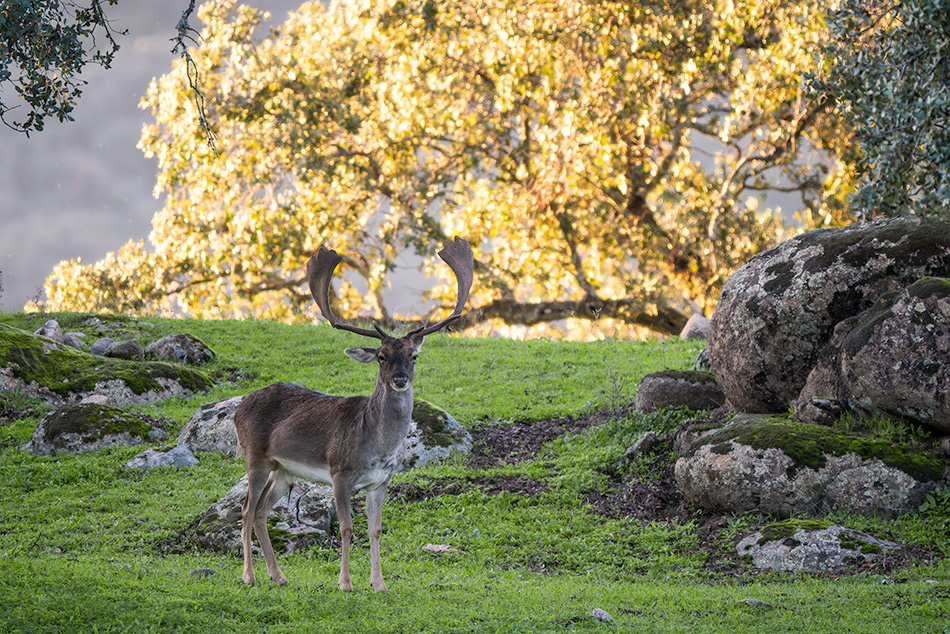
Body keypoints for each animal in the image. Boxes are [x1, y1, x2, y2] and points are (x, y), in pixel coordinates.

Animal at [234, 235, 472, 592]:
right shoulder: (339, 471)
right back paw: (249, 576)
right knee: (247, 509)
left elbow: (376, 529)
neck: (377, 445)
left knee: (262, 510)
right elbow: (347, 528)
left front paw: (379, 584)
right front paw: (345, 583)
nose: (399, 379)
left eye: (413, 356)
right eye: (382, 356)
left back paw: (279, 576)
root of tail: (237, 408)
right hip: (255, 455)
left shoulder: (381, 481)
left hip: (283, 468)